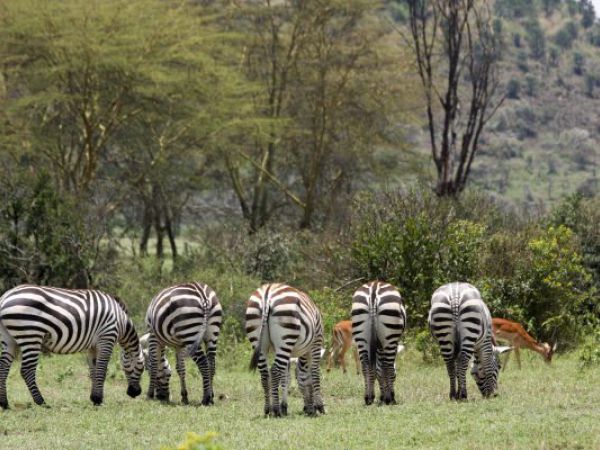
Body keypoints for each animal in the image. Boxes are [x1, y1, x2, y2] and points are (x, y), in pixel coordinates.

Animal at [0, 284, 144, 408]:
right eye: (141, 368)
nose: (135, 393)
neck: (122, 322)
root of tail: (5, 297)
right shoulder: (107, 338)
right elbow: (102, 371)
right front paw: (99, 400)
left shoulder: (92, 346)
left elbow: (93, 371)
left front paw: (94, 398)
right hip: (31, 334)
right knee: (27, 370)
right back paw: (42, 402)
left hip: (9, 339)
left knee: (4, 368)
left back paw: (4, 404)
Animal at [245, 284, 326, 416]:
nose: (307, 409)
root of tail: (267, 293)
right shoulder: (315, 344)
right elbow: (311, 374)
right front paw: (318, 406)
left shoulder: (288, 352)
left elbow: (286, 377)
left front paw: (285, 406)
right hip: (286, 335)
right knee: (274, 371)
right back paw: (276, 410)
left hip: (260, 340)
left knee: (265, 373)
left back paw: (268, 409)